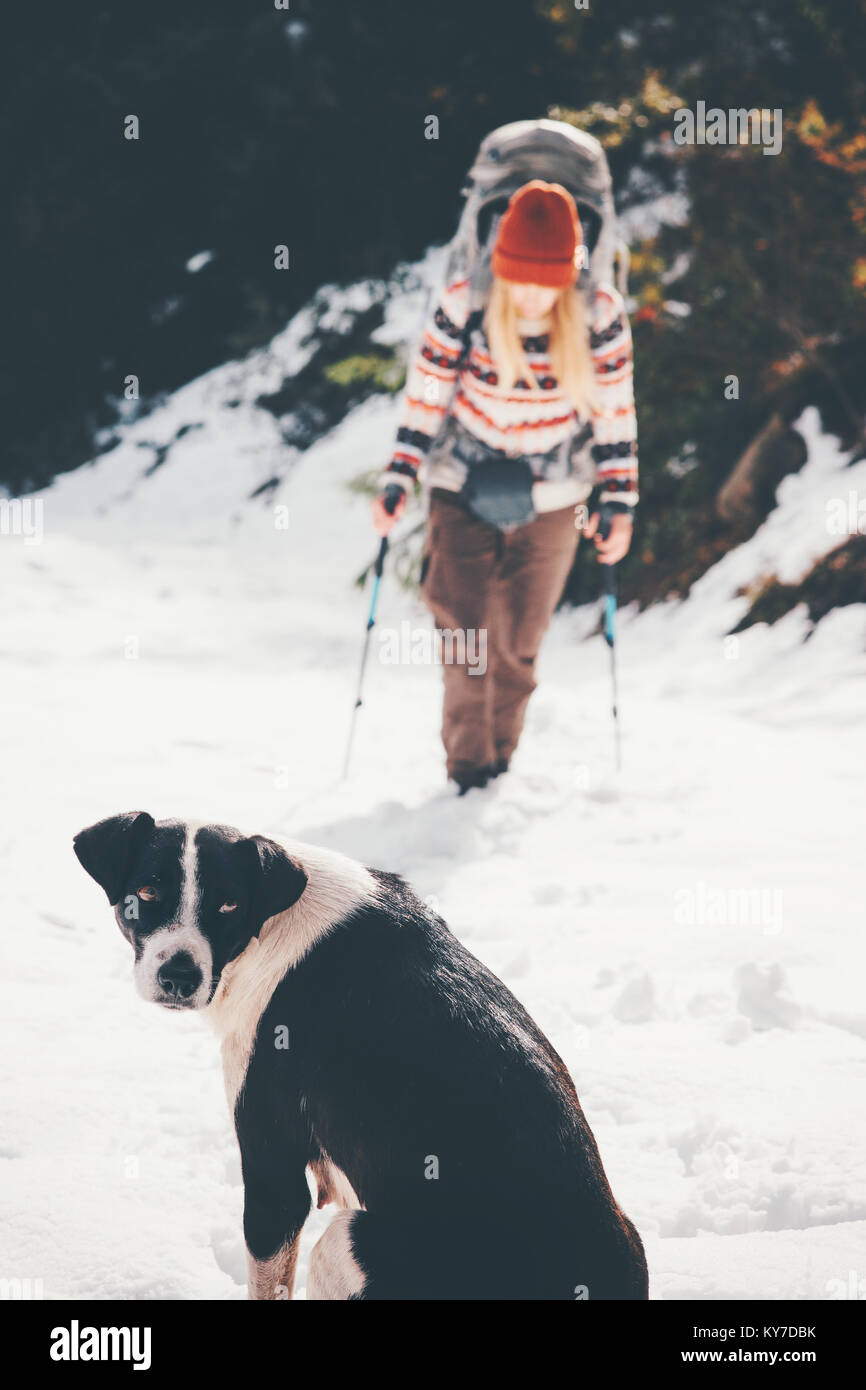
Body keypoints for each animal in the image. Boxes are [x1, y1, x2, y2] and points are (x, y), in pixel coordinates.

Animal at [74, 811, 647, 1301]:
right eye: (148, 892)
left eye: (229, 904)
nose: (179, 976)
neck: (271, 925)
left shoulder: (274, 1174)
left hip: (347, 1242)